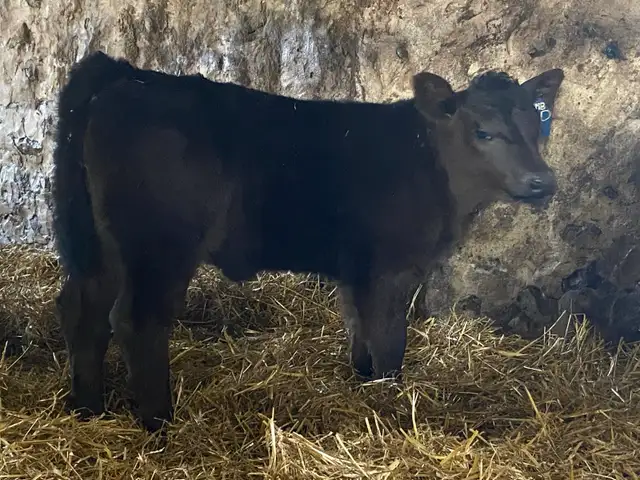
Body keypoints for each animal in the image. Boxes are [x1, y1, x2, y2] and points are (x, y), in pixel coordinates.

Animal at [51, 50, 564, 431]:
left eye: (537, 126)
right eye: (483, 131)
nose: (542, 181)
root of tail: (128, 76)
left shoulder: (356, 269)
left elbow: (359, 331)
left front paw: (363, 386)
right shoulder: (389, 268)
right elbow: (390, 342)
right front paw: (392, 405)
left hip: (101, 245)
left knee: (83, 309)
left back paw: (88, 408)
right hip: (159, 246)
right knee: (136, 321)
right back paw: (159, 422)